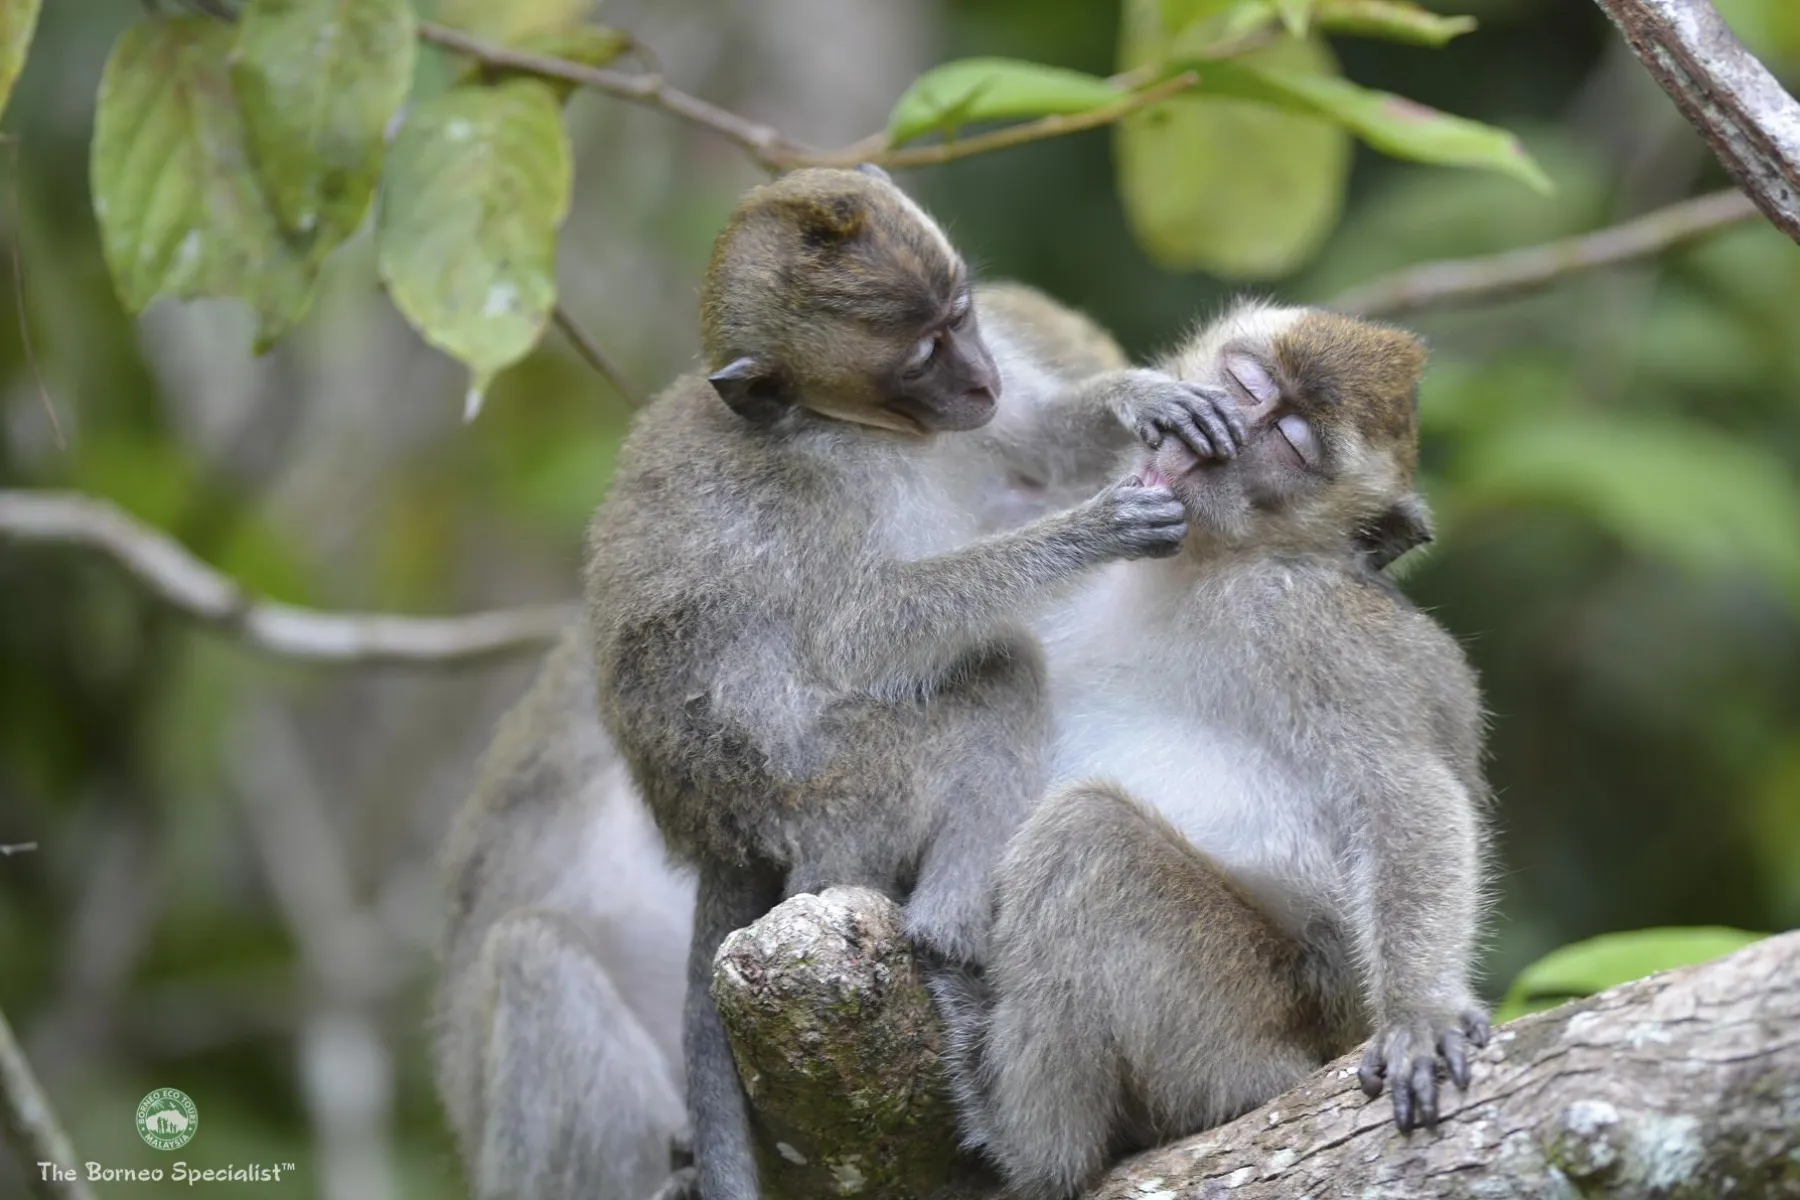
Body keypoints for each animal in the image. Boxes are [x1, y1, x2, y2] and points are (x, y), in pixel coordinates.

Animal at [581, 166, 1263, 1200]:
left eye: (963, 316)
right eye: (920, 355)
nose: (979, 379)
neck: (857, 427)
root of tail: (720, 831)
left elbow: (1034, 445)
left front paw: (1144, 400)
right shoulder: (831, 487)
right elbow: (863, 633)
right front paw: (1088, 531)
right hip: (836, 792)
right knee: (996, 676)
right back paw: (945, 935)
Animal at [939, 302, 1490, 1199]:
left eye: (1292, 444)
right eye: (1246, 384)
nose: (1209, 446)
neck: (1196, 563)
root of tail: (1317, 1048)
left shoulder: (1305, 618)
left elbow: (1402, 793)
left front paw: (1421, 1013)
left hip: (1234, 1041)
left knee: (1085, 839)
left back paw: (1026, 1148)